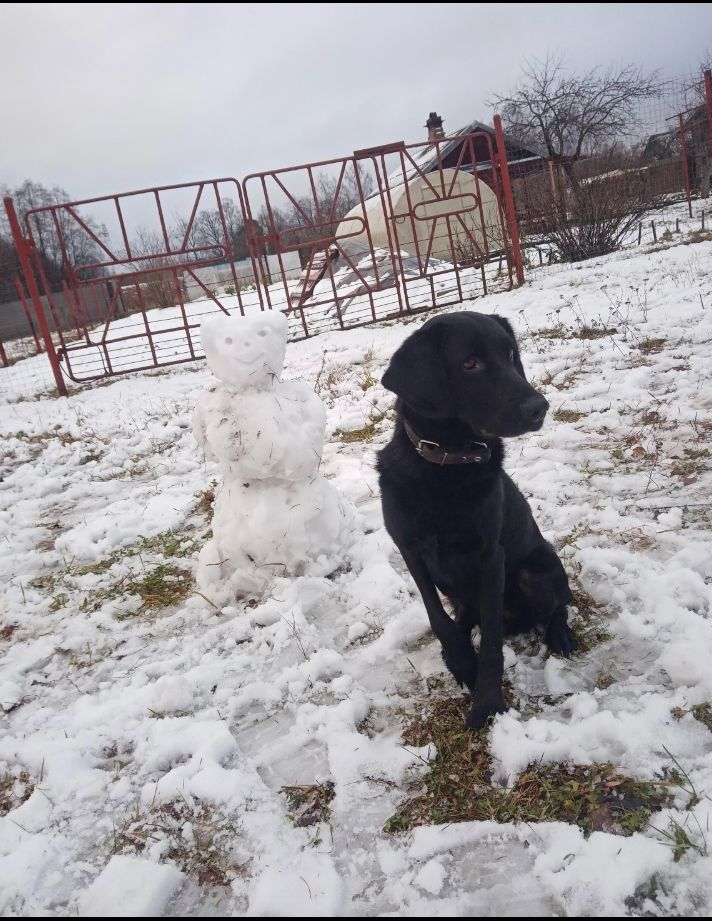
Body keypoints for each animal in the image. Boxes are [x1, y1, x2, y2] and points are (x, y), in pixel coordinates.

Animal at [376, 312, 576, 728]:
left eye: (510, 353)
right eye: (469, 363)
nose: (540, 407)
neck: (446, 468)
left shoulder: (490, 558)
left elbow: (492, 644)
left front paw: (487, 704)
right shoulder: (410, 552)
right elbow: (439, 619)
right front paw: (462, 664)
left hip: (536, 571)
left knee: (559, 604)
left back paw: (560, 635)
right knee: (464, 618)